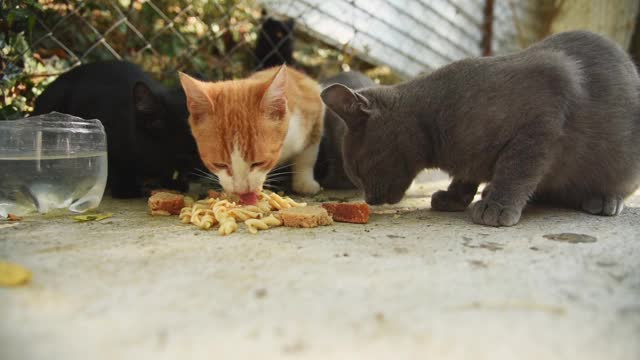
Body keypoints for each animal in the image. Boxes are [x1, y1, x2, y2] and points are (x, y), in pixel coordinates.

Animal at [178, 65, 322, 202]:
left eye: (259, 163)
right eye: (219, 164)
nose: (241, 191)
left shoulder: (312, 109)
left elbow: (308, 155)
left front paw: (305, 181)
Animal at [322, 31, 640, 228]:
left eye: (358, 168)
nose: (369, 200)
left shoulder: (541, 123)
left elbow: (517, 169)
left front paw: (497, 206)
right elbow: (466, 174)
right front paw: (454, 197)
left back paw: (604, 200)